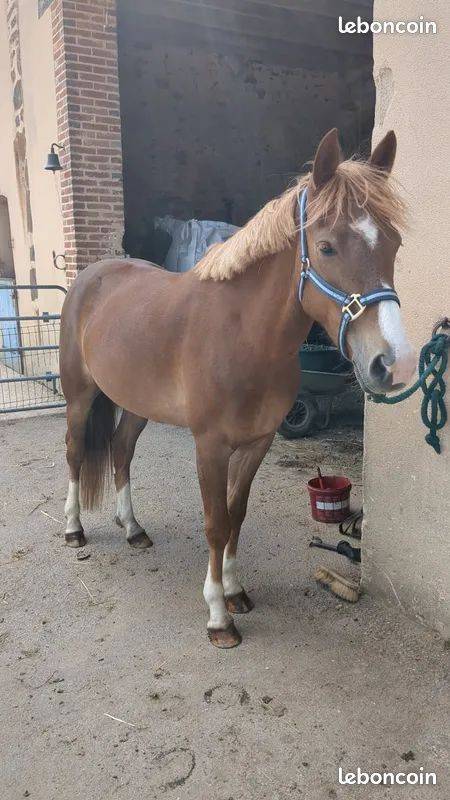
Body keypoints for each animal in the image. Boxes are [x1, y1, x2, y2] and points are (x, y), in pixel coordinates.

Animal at [59, 128, 415, 648]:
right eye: (327, 247)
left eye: (394, 244)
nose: (394, 362)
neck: (244, 337)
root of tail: (91, 275)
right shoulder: (210, 446)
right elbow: (215, 522)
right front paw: (218, 616)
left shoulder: (257, 443)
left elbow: (236, 514)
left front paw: (234, 591)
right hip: (80, 398)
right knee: (75, 454)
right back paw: (73, 529)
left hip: (137, 404)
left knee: (121, 453)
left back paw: (133, 529)